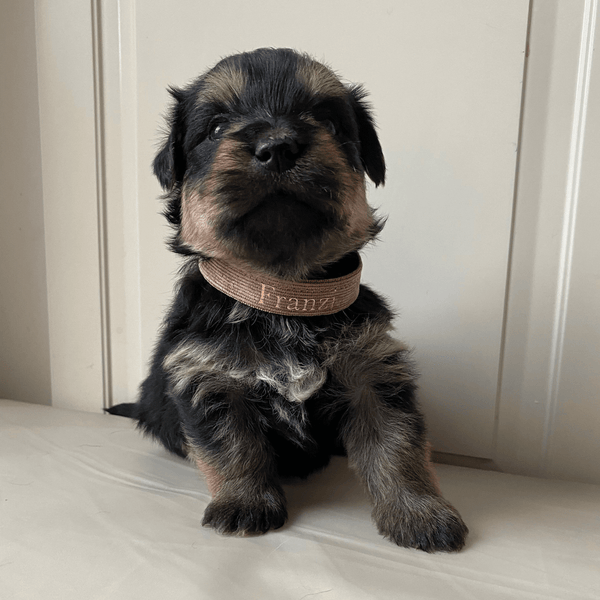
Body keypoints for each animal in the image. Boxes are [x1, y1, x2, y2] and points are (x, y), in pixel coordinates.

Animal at [107, 48, 468, 552]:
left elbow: (399, 448)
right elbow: (232, 447)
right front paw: (243, 503)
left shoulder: (373, 373)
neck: (283, 295)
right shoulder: (208, 377)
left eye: (327, 121)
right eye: (216, 127)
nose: (277, 146)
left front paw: (419, 513)